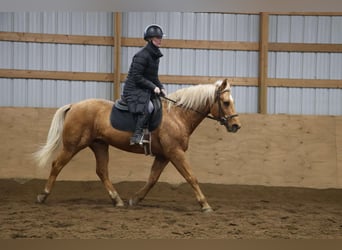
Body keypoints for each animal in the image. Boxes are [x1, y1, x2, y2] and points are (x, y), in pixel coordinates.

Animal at [32, 79, 240, 212]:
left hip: (99, 145)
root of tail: (74, 105)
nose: (236, 126)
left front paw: (135, 199)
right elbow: (191, 177)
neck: (177, 116)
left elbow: (152, 179)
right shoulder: (175, 152)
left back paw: (117, 200)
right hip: (72, 146)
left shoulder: (164, 155)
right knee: (57, 165)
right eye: (225, 102)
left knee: (102, 171)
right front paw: (205, 204)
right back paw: (43, 195)